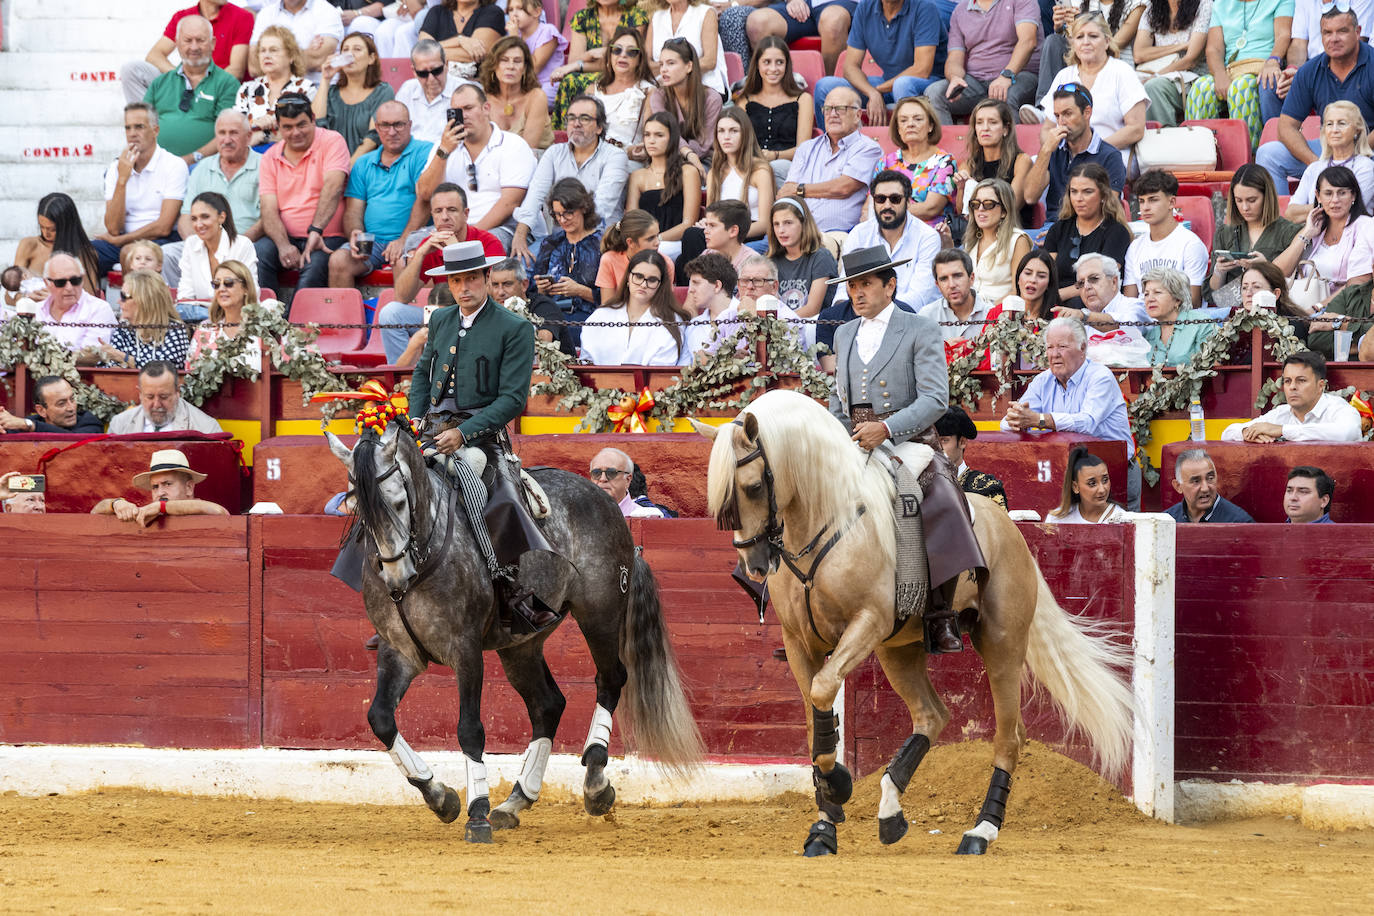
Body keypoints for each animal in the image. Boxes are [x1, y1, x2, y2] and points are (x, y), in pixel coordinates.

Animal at [327, 425, 703, 840]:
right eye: (357, 507)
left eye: (396, 502)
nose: (396, 577)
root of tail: (601, 499)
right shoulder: (399, 651)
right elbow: (380, 718)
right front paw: (441, 798)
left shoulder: (466, 650)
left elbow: (470, 729)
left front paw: (476, 812)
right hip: (521, 645)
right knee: (548, 704)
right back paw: (516, 800)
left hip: (600, 613)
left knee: (610, 680)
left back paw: (595, 784)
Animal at [692, 390, 1132, 856]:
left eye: (754, 486)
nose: (755, 564)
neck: (825, 519)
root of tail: (1008, 527)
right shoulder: (798, 642)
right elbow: (814, 720)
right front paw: (824, 827)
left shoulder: (867, 621)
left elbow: (824, 689)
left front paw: (839, 784)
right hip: (898, 650)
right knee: (932, 715)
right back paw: (890, 813)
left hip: (1002, 642)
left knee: (1010, 736)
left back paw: (981, 831)